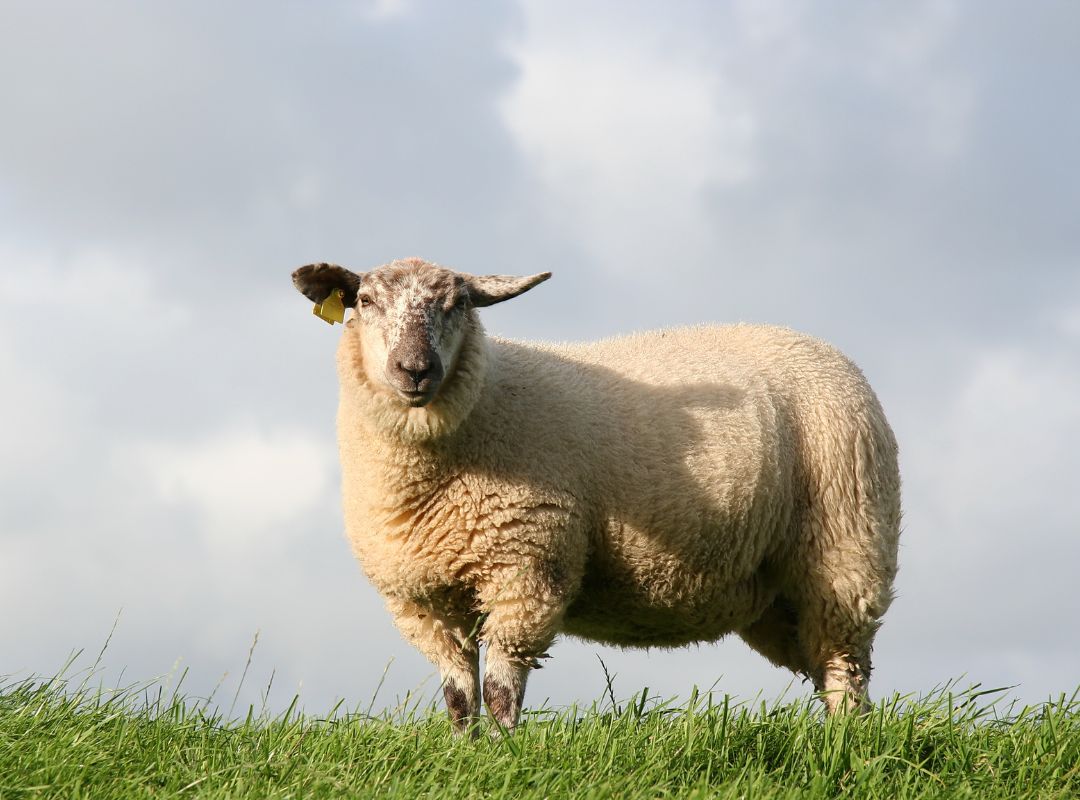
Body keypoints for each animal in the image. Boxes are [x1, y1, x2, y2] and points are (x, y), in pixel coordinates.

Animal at [289, 255, 902, 729]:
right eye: (366, 300)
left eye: (457, 303)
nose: (415, 369)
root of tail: (829, 352)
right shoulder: (425, 597)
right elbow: (460, 696)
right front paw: (465, 752)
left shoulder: (527, 569)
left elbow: (502, 690)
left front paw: (505, 755)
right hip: (774, 592)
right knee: (822, 665)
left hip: (846, 551)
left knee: (845, 668)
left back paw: (845, 745)